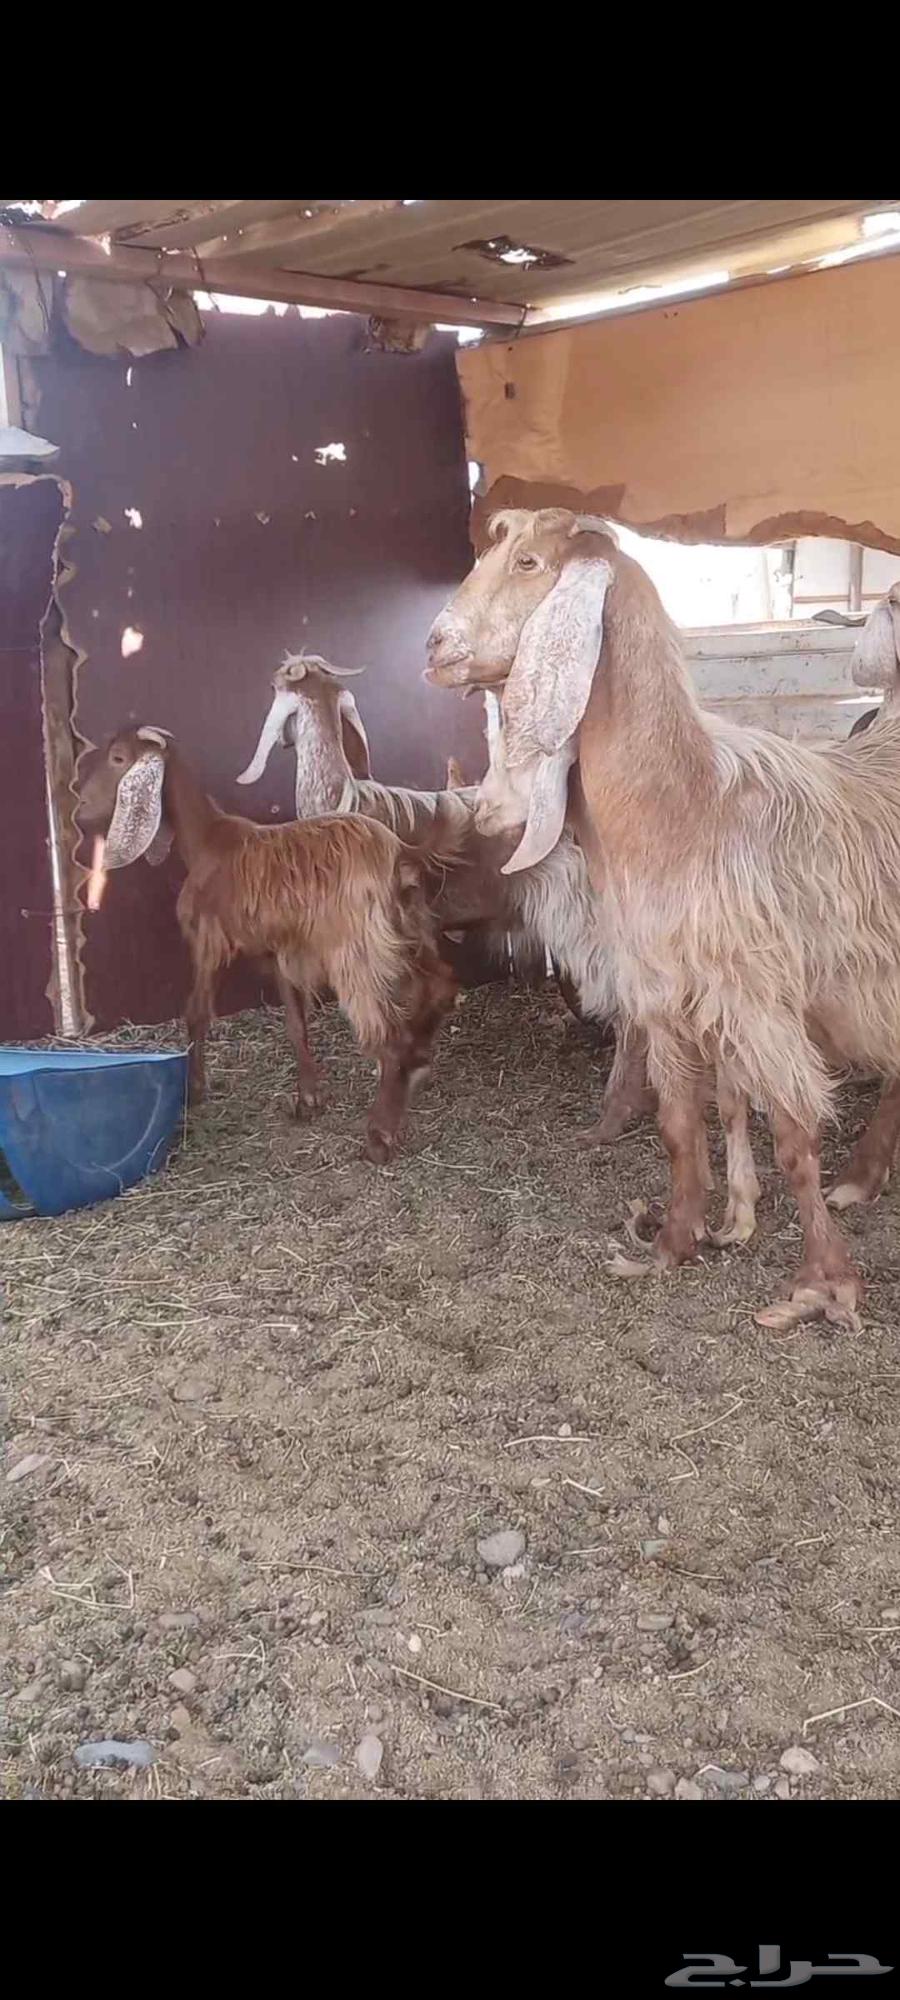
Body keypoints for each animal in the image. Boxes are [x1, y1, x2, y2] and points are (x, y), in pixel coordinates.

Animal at [78, 727, 459, 1165]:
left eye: (119, 759)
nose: (81, 809)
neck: (206, 840)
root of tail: (401, 853)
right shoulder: (280, 953)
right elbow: (295, 1023)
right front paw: (308, 1097)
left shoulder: (208, 942)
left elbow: (196, 1012)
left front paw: (195, 1090)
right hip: (410, 932)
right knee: (441, 985)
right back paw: (419, 1063)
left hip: (357, 952)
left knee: (389, 1034)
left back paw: (380, 1135)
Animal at [426, 508, 900, 1331]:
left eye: (527, 562)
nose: (433, 646)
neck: (683, 804)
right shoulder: (661, 996)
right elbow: (680, 1127)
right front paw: (672, 1245)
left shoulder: (755, 999)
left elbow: (794, 1138)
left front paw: (823, 1285)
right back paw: (865, 1176)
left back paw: (860, 1178)